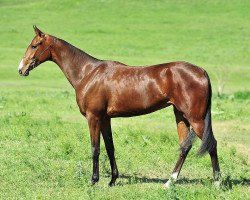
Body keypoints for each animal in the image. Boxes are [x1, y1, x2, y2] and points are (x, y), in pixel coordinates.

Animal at [18, 26, 221, 188]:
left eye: (34, 45)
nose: (21, 69)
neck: (87, 73)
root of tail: (201, 71)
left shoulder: (93, 117)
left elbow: (95, 149)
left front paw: (94, 180)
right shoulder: (105, 119)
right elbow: (110, 147)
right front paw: (112, 180)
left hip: (196, 119)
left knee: (211, 144)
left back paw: (217, 183)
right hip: (181, 116)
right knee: (184, 147)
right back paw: (169, 182)